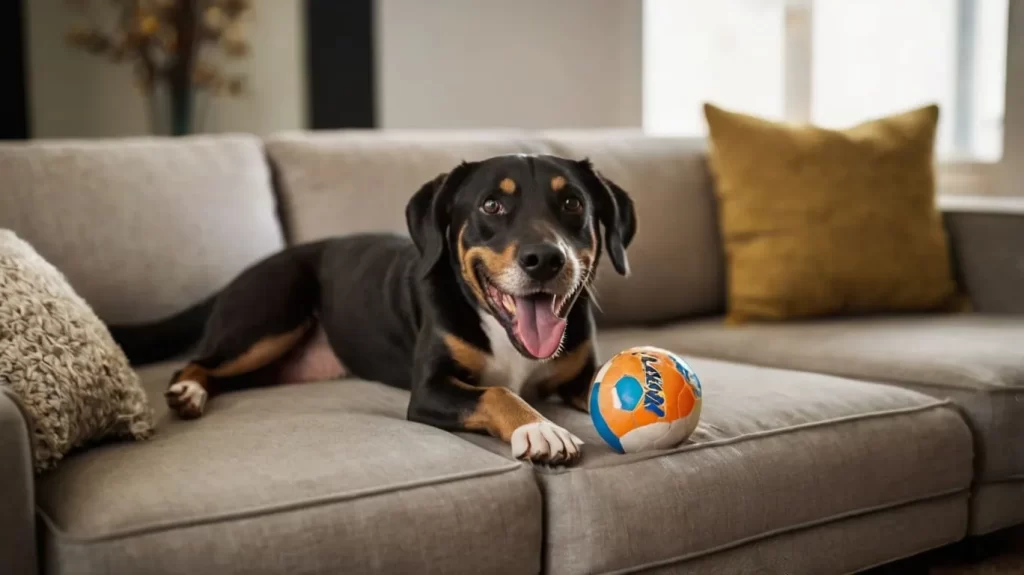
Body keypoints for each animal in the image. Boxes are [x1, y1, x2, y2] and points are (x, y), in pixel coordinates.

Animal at [140, 154, 630, 462]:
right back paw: (188, 392)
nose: (545, 259)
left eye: (572, 203)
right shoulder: (429, 390)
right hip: (268, 319)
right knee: (198, 362)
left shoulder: (582, 376)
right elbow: (498, 392)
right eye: (492, 204)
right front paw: (540, 428)